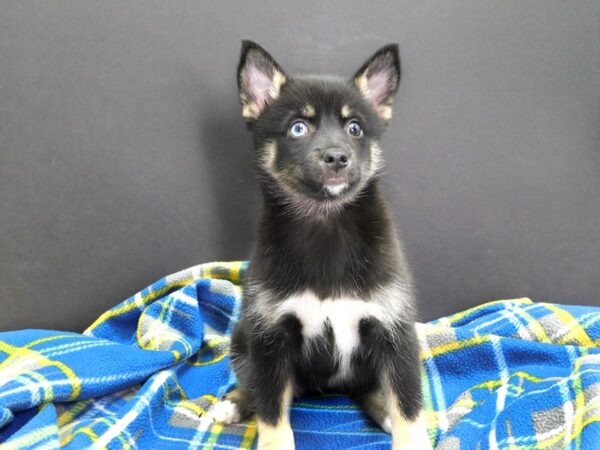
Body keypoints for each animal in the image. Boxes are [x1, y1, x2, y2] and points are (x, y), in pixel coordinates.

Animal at [211, 40, 432, 448]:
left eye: (355, 128)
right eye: (298, 128)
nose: (337, 157)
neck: (325, 223)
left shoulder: (395, 332)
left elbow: (409, 408)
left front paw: (408, 431)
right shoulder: (270, 338)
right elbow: (272, 413)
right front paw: (272, 438)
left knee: (370, 389)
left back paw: (382, 409)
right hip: (243, 339)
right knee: (254, 385)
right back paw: (234, 402)